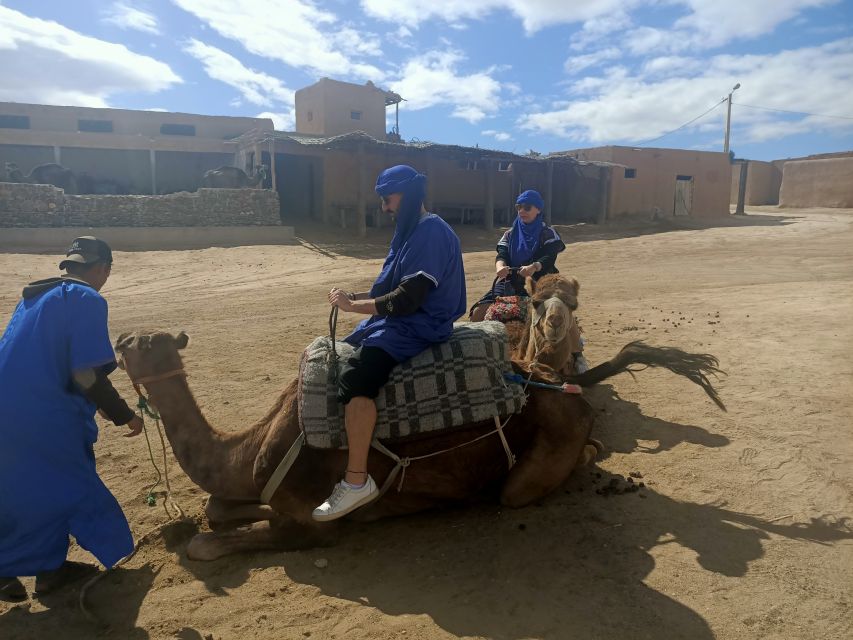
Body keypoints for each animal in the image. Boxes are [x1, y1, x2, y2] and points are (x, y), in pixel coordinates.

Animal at [113, 330, 724, 560]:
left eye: (140, 344)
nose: (116, 339)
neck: (253, 449)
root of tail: (556, 380)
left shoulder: (311, 527)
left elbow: (209, 542)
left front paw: (193, 539)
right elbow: (217, 509)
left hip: (534, 466)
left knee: (525, 487)